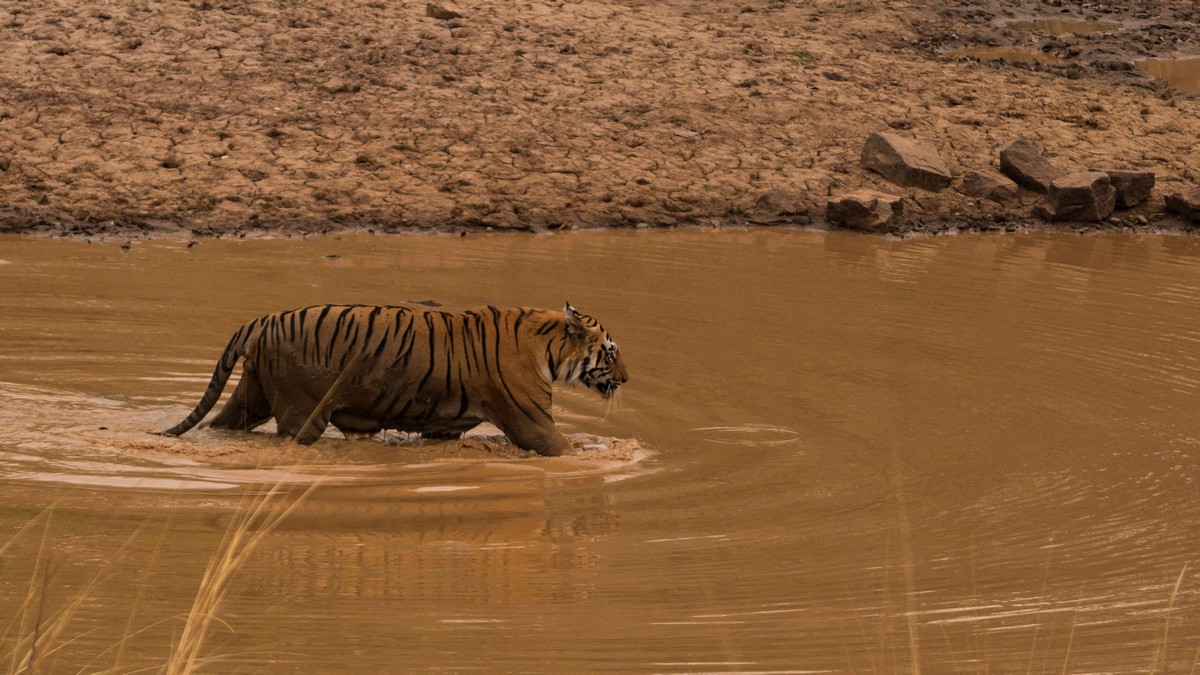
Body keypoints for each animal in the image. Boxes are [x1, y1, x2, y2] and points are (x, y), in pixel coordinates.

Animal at [159, 302, 628, 454]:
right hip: (301, 411)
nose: (626, 379)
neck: (548, 346)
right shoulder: (532, 423)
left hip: (251, 396)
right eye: (610, 351)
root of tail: (261, 320)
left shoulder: (443, 425)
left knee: (221, 424)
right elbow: (566, 448)